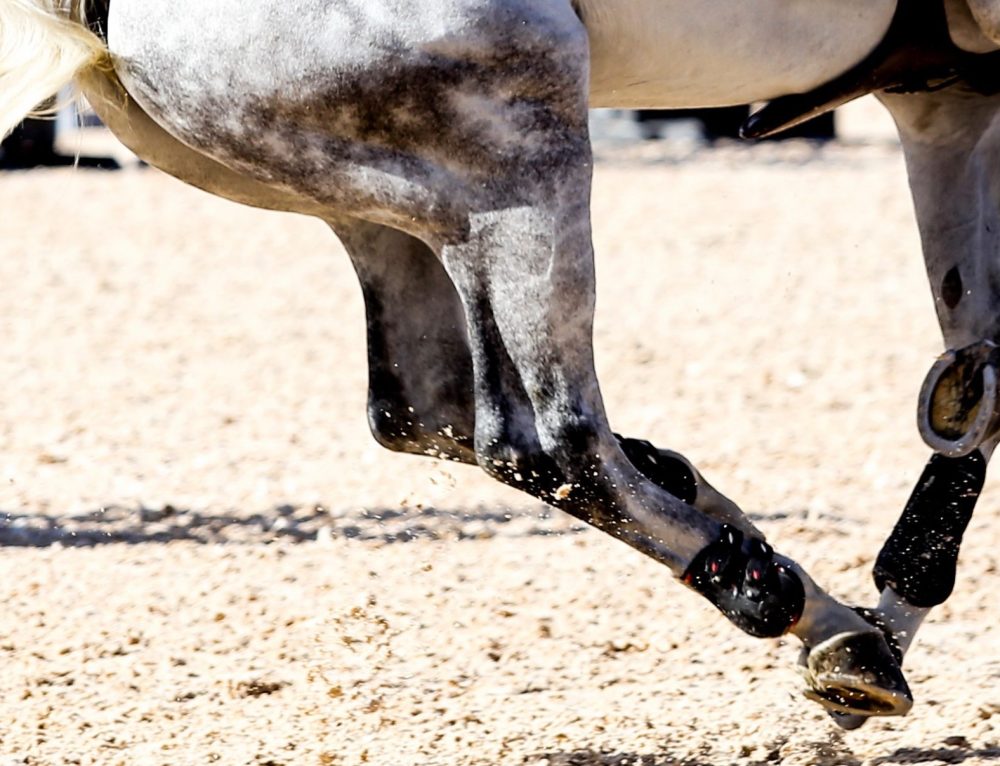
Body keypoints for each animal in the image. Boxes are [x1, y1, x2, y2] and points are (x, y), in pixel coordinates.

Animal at [3, 0, 1000, 727]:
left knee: (428, 410)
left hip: (379, 199)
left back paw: (772, 567)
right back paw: (792, 604)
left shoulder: (947, 102)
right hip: (519, 142)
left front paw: (905, 590)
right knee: (552, 443)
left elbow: (978, 371)